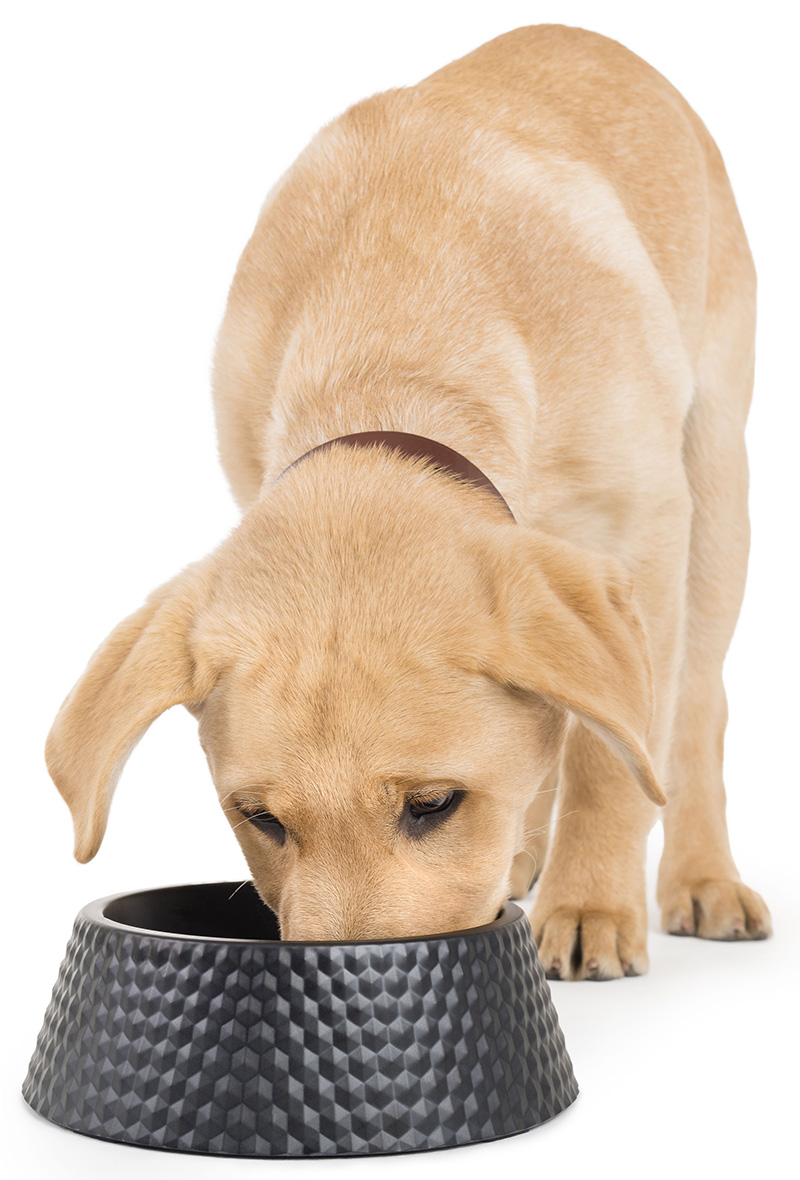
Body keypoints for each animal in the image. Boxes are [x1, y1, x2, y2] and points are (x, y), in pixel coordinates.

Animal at [46, 25, 774, 977]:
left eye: (433, 804)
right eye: (260, 819)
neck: (393, 345)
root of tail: (580, 34)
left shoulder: (640, 530)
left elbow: (613, 757)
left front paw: (590, 901)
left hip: (716, 480)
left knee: (691, 705)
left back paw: (701, 876)